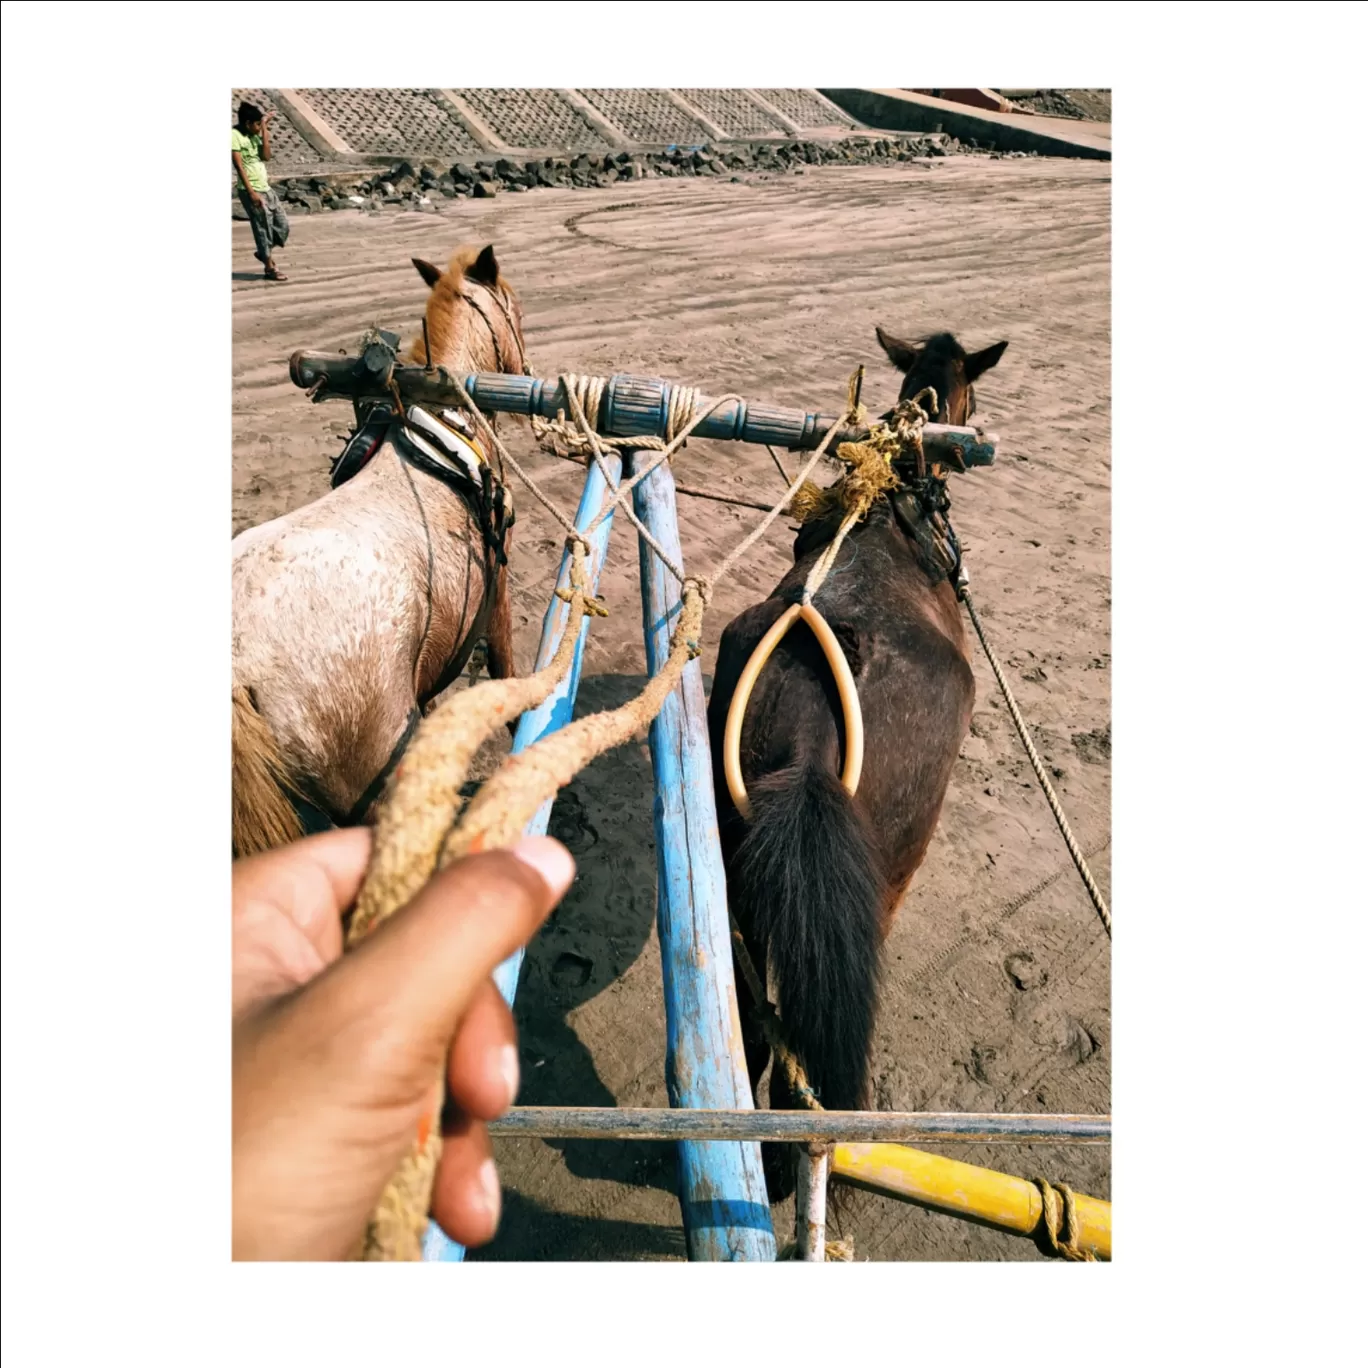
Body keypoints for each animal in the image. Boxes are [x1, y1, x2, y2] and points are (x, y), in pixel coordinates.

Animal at [229, 240, 528, 848]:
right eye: (515, 307)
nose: (527, 368)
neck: (445, 428)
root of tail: (239, 669)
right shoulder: (498, 586)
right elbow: (505, 665)